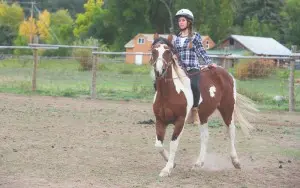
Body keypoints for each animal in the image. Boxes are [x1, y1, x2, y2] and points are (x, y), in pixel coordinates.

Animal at [150, 33, 258, 176]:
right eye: (154, 51)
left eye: (168, 51)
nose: (159, 71)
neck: (169, 92)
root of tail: (226, 73)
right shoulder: (160, 120)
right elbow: (158, 145)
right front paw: (172, 164)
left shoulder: (180, 121)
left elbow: (173, 144)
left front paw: (167, 169)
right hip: (203, 115)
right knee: (205, 136)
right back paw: (198, 164)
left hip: (227, 109)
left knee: (231, 131)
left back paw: (236, 162)